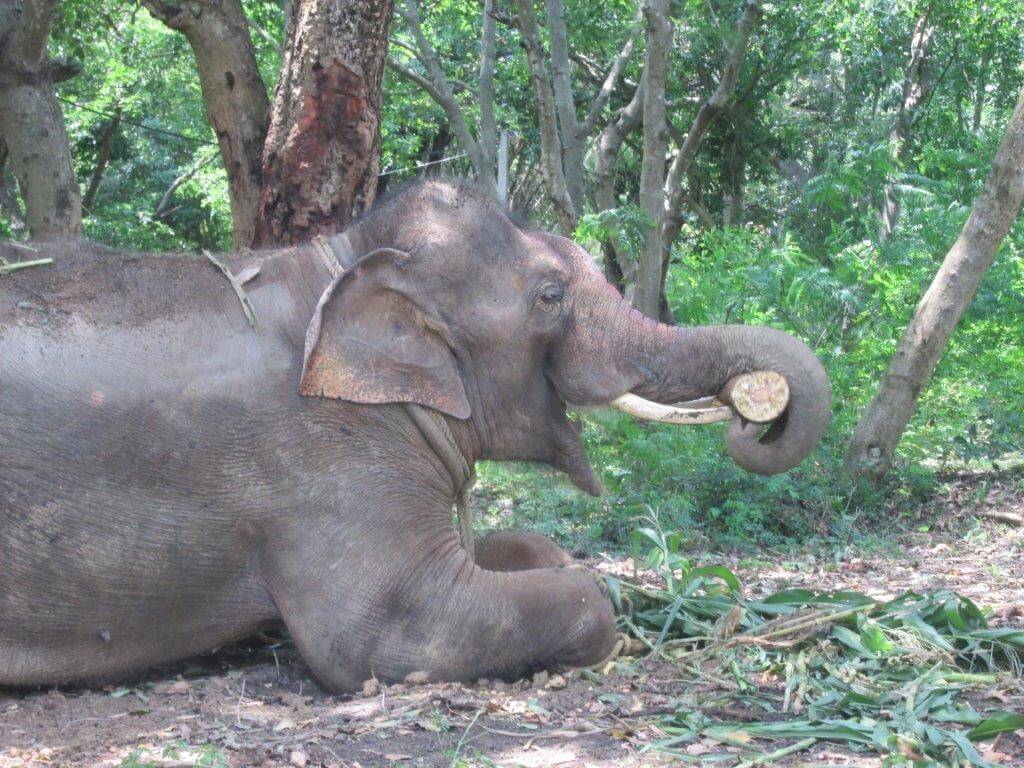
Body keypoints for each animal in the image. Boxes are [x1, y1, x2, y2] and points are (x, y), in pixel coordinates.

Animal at [0, 179, 827, 692]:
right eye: (550, 296)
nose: (756, 409)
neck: (344, 257)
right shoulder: (317, 455)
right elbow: (386, 634)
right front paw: (612, 623)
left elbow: (525, 547)